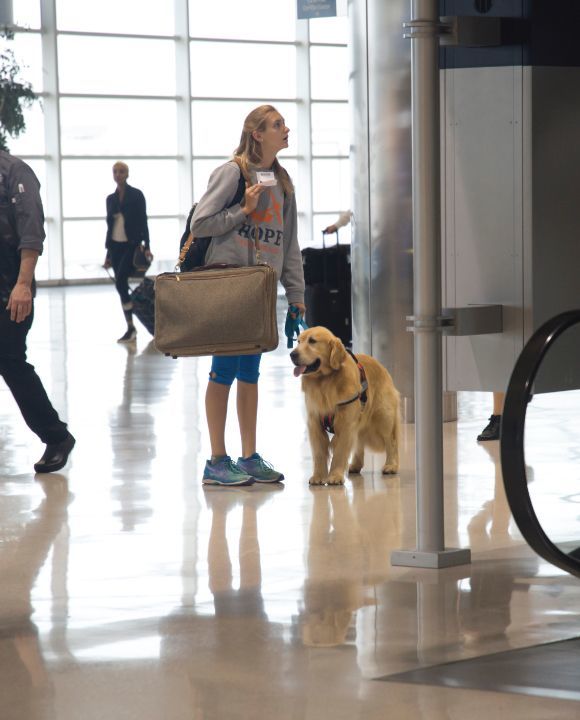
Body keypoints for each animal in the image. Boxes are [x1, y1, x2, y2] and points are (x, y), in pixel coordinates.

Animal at [288, 328, 398, 486]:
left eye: (312, 341)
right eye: (298, 341)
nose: (292, 354)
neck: (325, 382)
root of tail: (380, 365)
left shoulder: (345, 423)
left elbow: (340, 452)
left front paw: (335, 475)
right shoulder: (315, 423)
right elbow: (319, 454)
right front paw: (318, 476)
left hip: (383, 416)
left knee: (391, 441)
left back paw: (391, 465)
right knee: (359, 442)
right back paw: (355, 465)